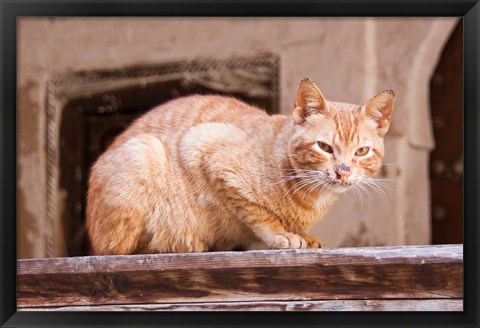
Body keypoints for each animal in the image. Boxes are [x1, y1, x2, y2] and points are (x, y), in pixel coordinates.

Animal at [86, 78, 394, 255]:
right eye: (325, 147)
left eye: (361, 151)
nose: (343, 171)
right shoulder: (207, 150)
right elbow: (258, 214)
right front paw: (282, 234)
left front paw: (304, 235)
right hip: (143, 152)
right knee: (118, 250)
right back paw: (182, 243)